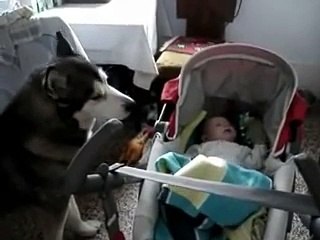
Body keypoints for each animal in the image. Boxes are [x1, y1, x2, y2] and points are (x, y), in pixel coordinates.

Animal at [0, 32, 135, 239]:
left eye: (107, 80)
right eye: (95, 96)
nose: (132, 104)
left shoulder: (68, 184)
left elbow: (74, 212)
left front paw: (84, 229)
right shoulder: (54, 203)